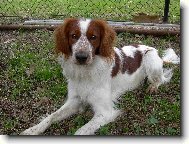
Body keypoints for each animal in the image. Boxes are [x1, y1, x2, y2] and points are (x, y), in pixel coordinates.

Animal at [21, 17, 180, 135]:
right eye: (74, 36)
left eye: (93, 37)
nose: (81, 57)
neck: (85, 73)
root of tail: (152, 49)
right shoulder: (74, 100)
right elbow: (51, 116)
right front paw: (33, 130)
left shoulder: (105, 112)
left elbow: (80, 131)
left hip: (150, 59)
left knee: (162, 79)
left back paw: (153, 87)